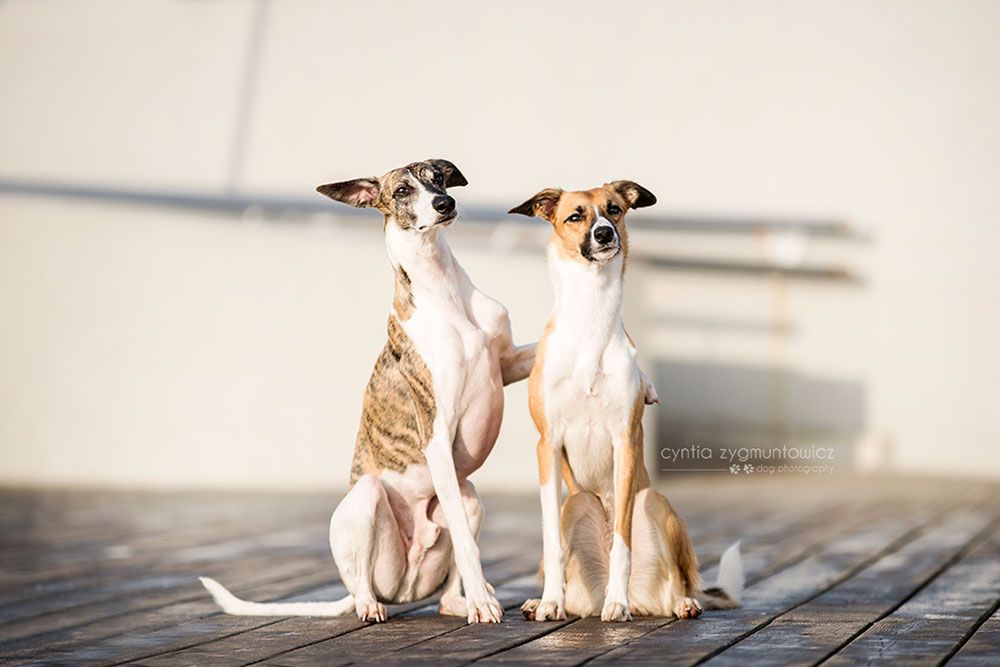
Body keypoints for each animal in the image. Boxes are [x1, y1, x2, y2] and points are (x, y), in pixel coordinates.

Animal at [198, 160, 536, 628]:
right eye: (401, 191)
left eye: (437, 178)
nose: (444, 204)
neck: (443, 290)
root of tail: (403, 586)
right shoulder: (436, 430)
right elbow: (467, 544)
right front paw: (484, 608)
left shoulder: (507, 366)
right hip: (367, 501)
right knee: (364, 580)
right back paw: (376, 605)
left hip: (470, 496)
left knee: (447, 590)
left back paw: (465, 598)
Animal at [512, 181, 740, 620]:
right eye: (576, 215)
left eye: (614, 209)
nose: (604, 234)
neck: (590, 316)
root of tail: (643, 598)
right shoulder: (546, 445)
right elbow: (551, 544)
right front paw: (549, 602)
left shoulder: (625, 442)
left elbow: (621, 540)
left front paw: (616, 604)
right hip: (576, 504)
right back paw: (546, 601)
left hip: (654, 502)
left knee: (680, 582)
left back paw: (671, 602)